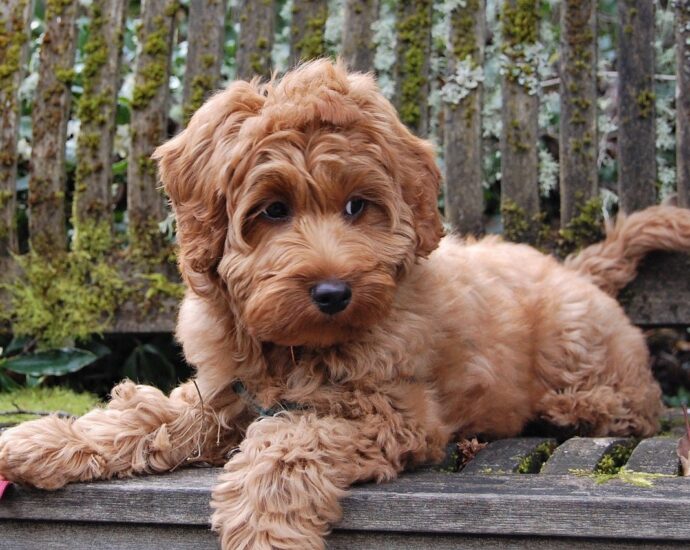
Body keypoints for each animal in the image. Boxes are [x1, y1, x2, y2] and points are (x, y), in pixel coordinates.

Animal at [1, 58, 688, 548]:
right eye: (272, 210)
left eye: (358, 206)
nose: (334, 292)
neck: (293, 349)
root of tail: (576, 269)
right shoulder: (221, 391)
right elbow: (147, 415)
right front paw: (41, 443)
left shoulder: (393, 413)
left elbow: (293, 435)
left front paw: (265, 526)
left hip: (581, 356)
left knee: (633, 405)